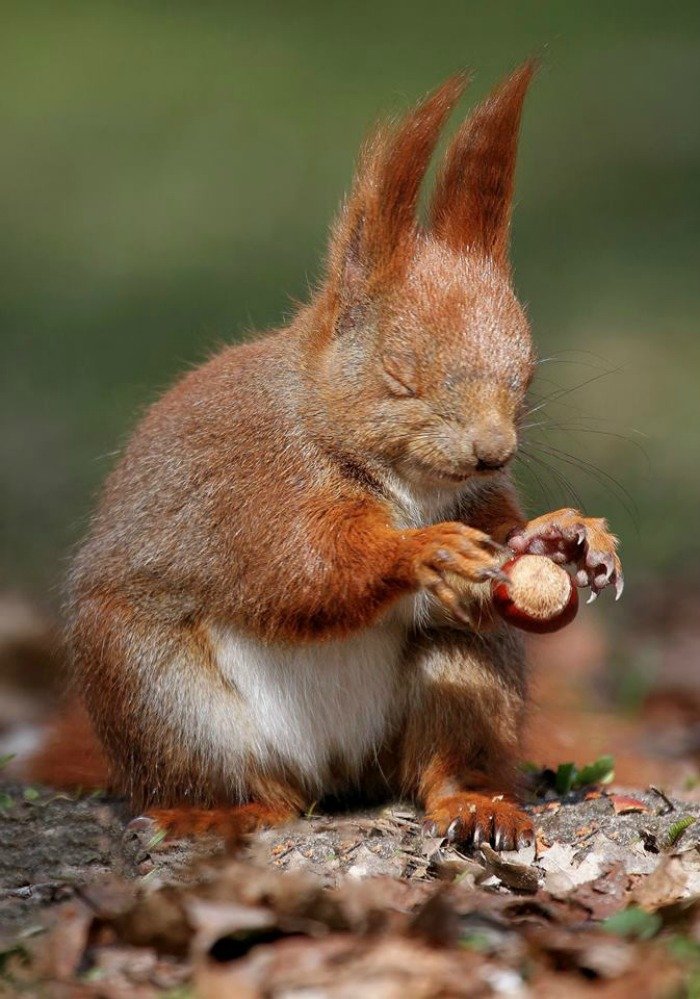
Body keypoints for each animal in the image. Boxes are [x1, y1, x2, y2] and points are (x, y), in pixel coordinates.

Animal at [37, 62, 624, 848]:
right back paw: (216, 810)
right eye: (400, 375)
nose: (493, 452)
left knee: (442, 758)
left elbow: (504, 534)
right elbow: (304, 569)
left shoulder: (480, 499)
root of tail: (338, 772)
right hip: (159, 692)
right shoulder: (258, 487)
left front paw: (570, 536)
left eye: (526, 376)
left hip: (465, 677)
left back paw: (477, 803)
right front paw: (423, 551)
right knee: (248, 786)